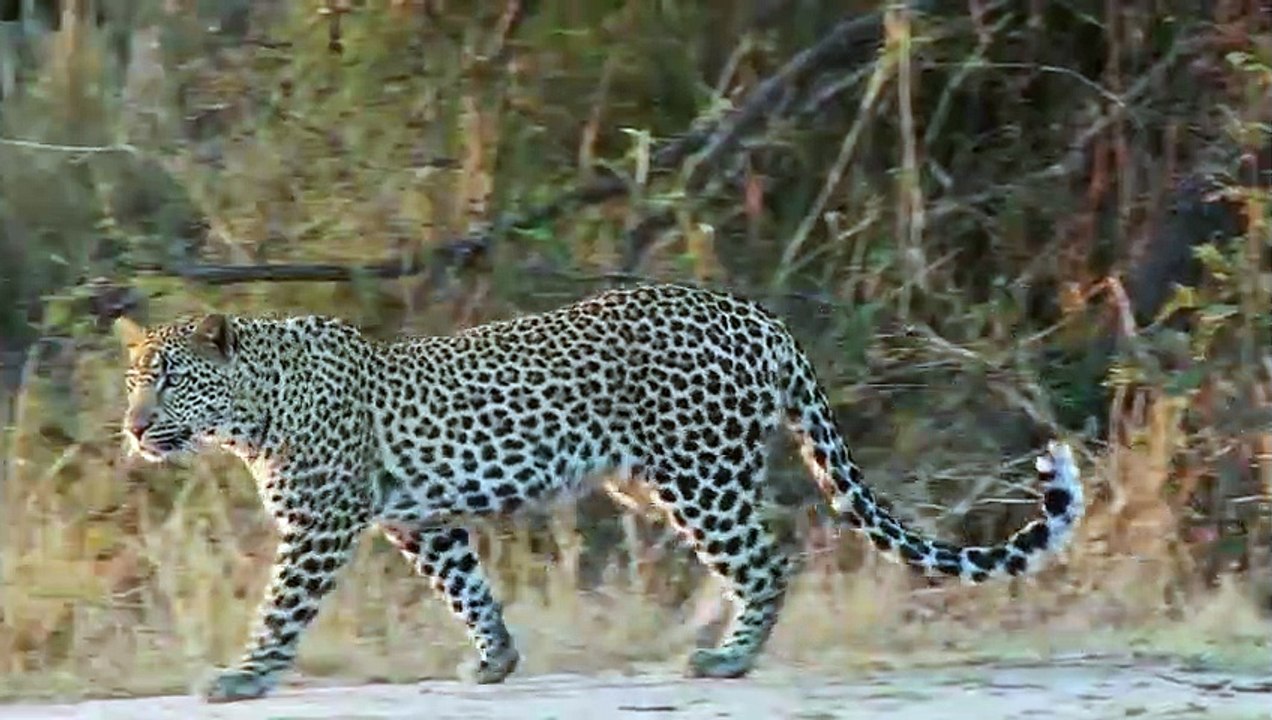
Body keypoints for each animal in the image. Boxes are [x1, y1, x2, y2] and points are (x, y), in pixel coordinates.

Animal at [114, 283, 1083, 707]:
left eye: (170, 381)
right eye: (134, 380)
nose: (131, 425)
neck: (257, 406)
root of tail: (759, 315)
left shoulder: (320, 523)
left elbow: (281, 607)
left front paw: (243, 676)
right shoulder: (421, 523)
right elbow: (469, 592)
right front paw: (496, 660)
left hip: (698, 472)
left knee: (772, 554)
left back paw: (727, 659)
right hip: (659, 484)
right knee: (761, 545)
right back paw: (705, 633)